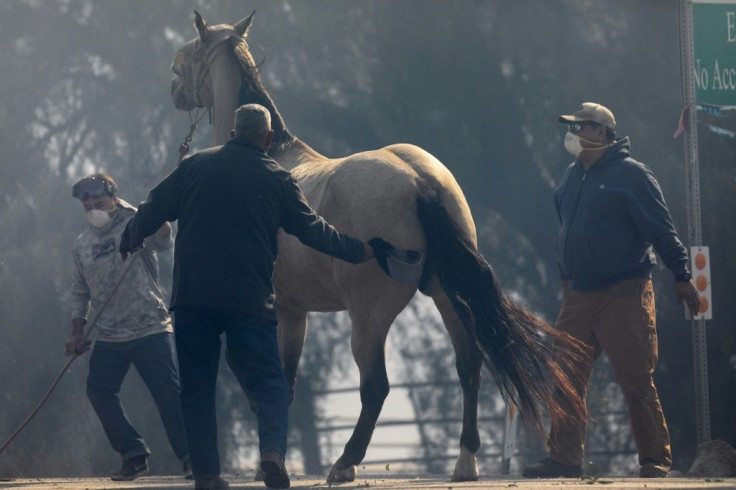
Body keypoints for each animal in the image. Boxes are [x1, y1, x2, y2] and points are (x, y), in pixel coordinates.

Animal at [170, 10, 584, 482]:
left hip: (369, 318)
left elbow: (261, 379)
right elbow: (285, 381)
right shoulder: (294, 312)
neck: (269, 152)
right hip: (448, 298)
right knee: (469, 366)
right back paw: (465, 461)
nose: (174, 88)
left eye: (188, 54)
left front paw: (267, 465)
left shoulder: (271, 312)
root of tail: (421, 182)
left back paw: (345, 463)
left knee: (376, 386)